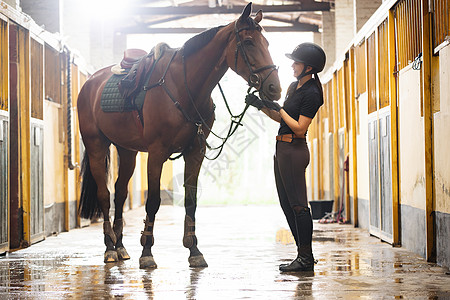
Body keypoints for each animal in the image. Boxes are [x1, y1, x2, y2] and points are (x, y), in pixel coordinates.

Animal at [77, 2, 282, 270]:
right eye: (248, 42)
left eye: (267, 43)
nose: (274, 88)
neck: (184, 88)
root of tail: (91, 82)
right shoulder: (157, 153)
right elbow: (153, 201)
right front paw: (147, 252)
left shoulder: (195, 152)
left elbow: (190, 201)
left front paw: (194, 250)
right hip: (96, 146)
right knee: (105, 194)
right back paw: (110, 249)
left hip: (127, 151)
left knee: (120, 192)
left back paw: (121, 247)